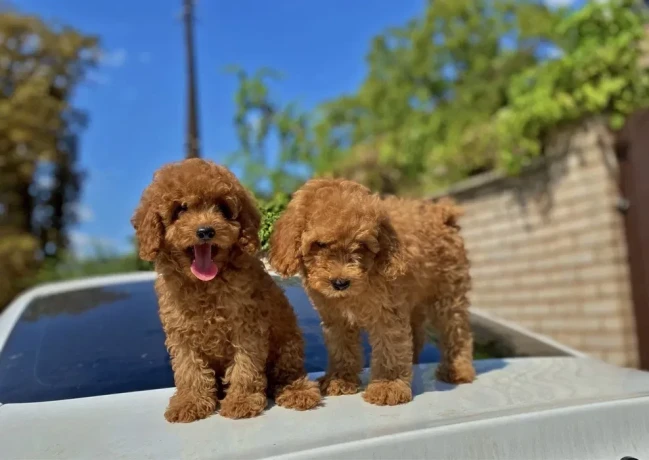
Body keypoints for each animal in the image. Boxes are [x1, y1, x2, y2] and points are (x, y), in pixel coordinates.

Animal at [132, 160, 322, 422]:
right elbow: (189, 369)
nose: (205, 231)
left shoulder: (247, 327)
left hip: (288, 344)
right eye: (180, 209)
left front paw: (241, 401)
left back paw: (297, 391)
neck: (205, 283)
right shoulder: (181, 333)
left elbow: (245, 367)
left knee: (286, 373)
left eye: (222, 208)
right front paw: (190, 402)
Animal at [268, 179, 476, 406]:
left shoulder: (388, 313)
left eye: (361, 245)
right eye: (320, 244)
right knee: (418, 333)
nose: (340, 282)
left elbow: (390, 348)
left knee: (456, 330)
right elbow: (342, 347)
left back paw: (457, 369)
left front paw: (388, 385)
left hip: (448, 291)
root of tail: (441, 212)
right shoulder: (336, 318)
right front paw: (339, 379)